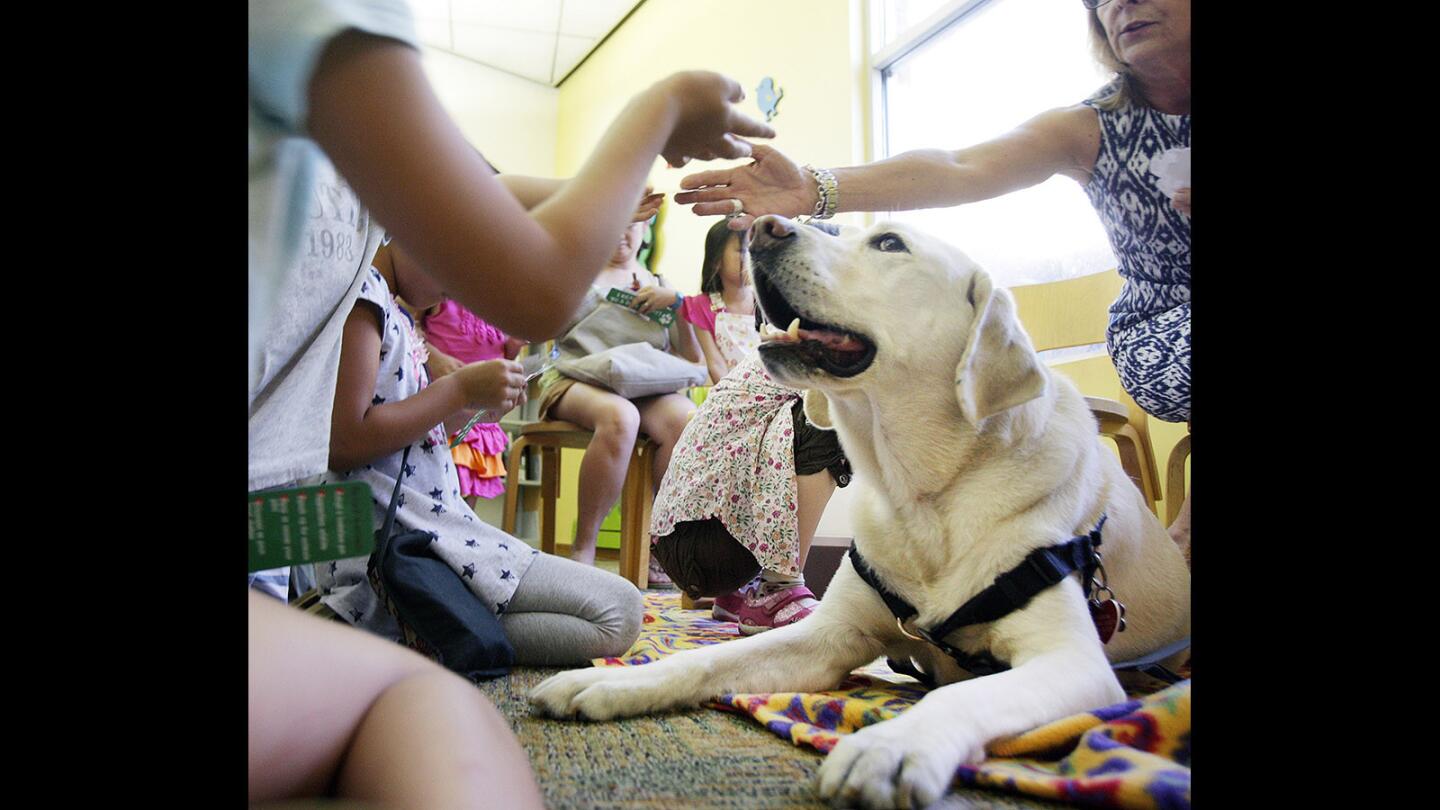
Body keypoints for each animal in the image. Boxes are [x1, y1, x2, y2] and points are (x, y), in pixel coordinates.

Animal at [535, 214, 1186, 807]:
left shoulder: (1073, 661)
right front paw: (609, 678)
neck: (923, 494)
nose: (763, 228)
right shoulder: (828, 637)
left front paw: (892, 745)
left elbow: (958, 693)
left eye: (890, 243)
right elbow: (710, 659)